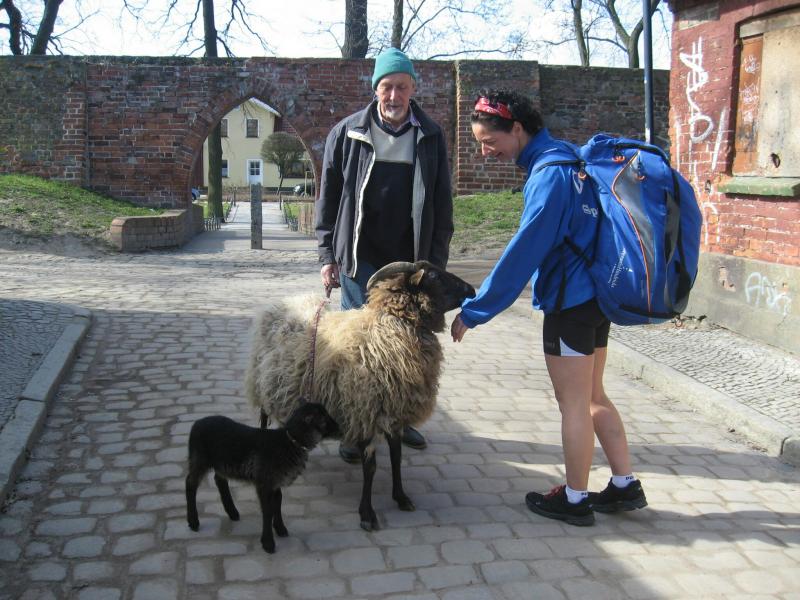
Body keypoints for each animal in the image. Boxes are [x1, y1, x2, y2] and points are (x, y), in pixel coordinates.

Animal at [185, 402, 339, 553]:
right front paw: (268, 543)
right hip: (199, 459)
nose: (338, 426)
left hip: (222, 463)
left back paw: (232, 512)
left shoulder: (275, 483)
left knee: (219, 480)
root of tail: (196, 423)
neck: (289, 442)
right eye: (324, 418)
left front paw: (280, 529)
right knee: (190, 484)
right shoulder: (264, 483)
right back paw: (193, 522)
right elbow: (268, 511)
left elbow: (278, 503)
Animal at [245, 260, 475, 531]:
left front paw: (401, 497)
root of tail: (282, 303)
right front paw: (367, 514)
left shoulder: (393, 414)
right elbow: (371, 467)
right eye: (434, 276)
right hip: (262, 382)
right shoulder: (365, 411)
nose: (472, 289)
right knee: (262, 417)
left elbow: (396, 458)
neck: (391, 329)